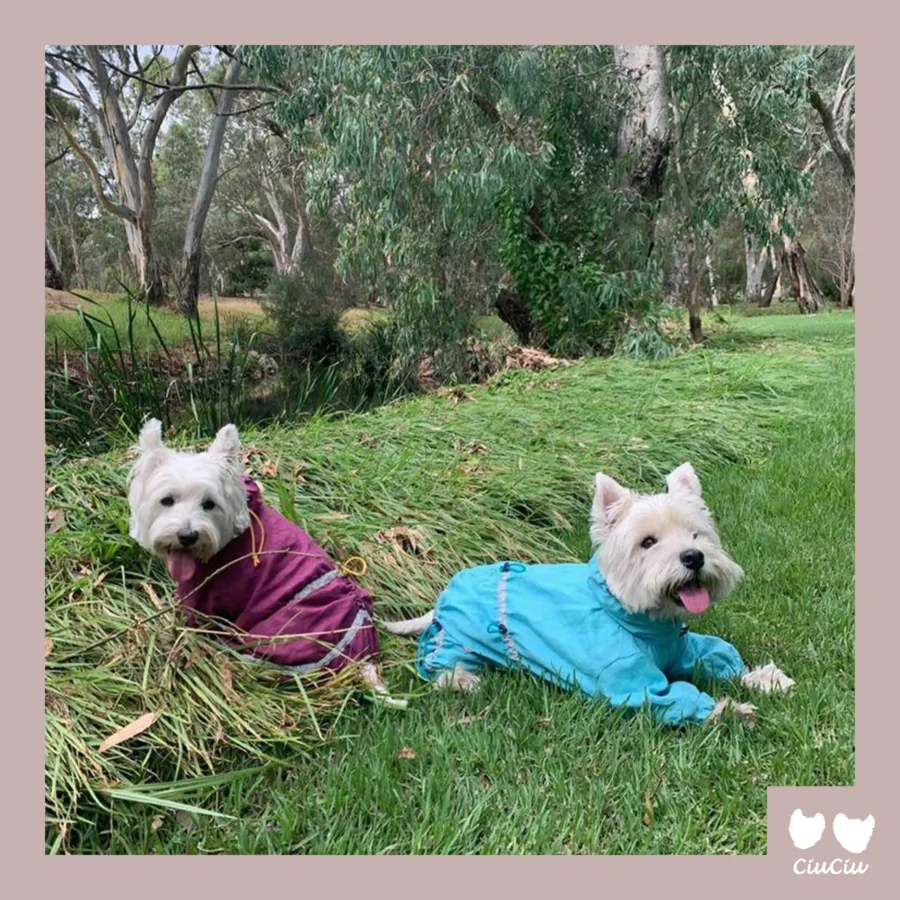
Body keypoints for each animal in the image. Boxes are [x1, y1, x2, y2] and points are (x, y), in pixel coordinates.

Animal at [386, 464, 796, 724]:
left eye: (697, 534)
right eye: (648, 542)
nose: (694, 557)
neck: (636, 618)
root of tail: (446, 592)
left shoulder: (683, 647)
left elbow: (718, 655)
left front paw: (765, 679)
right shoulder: (626, 678)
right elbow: (665, 694)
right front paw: (731, 711)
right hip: (458, 639)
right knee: (438, 663)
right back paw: (463, 681)